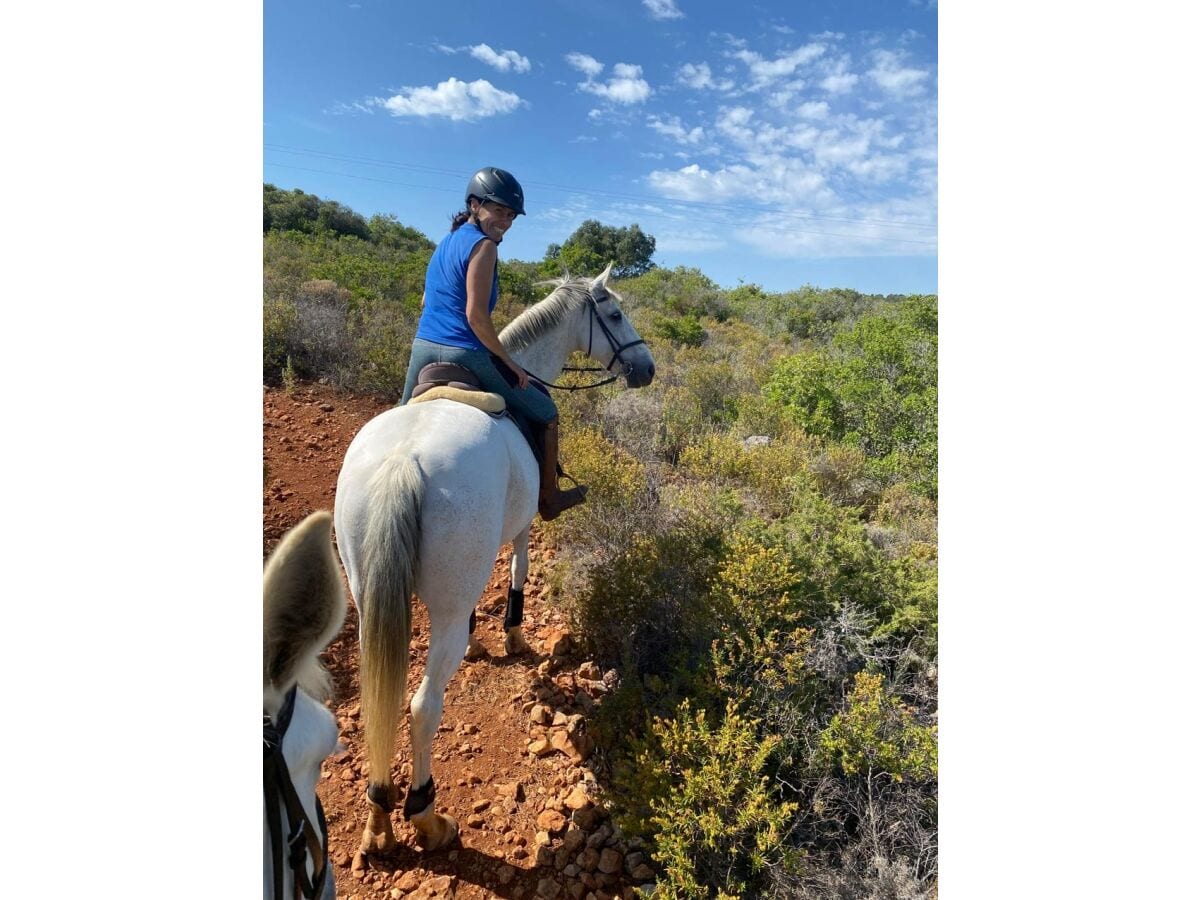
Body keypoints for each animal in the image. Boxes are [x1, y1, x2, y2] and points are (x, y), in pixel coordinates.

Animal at [333, 266, 657, 854]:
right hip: (439, 609)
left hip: (369, 598)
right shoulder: (524, 521)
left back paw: (379, 820)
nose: (646, 368)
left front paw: (485, 639)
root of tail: (401, 463)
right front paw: (512, 634)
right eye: (615, 314)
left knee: (379, 699)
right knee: (422, 707)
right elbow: (519, 569)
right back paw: (426, 816)